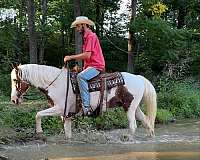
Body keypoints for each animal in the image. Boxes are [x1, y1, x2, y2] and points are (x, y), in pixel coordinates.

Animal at [10, 63, 158, 139]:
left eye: (15, 80)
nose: (13, 100)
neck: (56, 83)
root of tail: (139, 78)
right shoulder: (65, 114)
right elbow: (68, 133)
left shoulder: (59, 108)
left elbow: (38, 114)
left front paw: (40, 131)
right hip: (134, 107)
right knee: (146, 121)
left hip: (129, 107)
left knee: (133, 125)